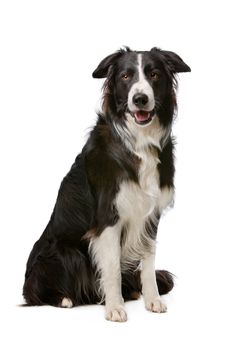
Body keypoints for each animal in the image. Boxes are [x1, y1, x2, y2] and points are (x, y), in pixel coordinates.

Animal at [22, 47, 190, 322]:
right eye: (125, 76)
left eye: (154, 74)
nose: (140, 99)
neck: (139, 143)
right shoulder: (108, 218)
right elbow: (111, 267)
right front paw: (114, 307)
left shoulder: (150, 215)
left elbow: (148, 261)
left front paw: (152, 300)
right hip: (65, 252)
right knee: (39, 293)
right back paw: (64, 298)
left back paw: (131, 291)